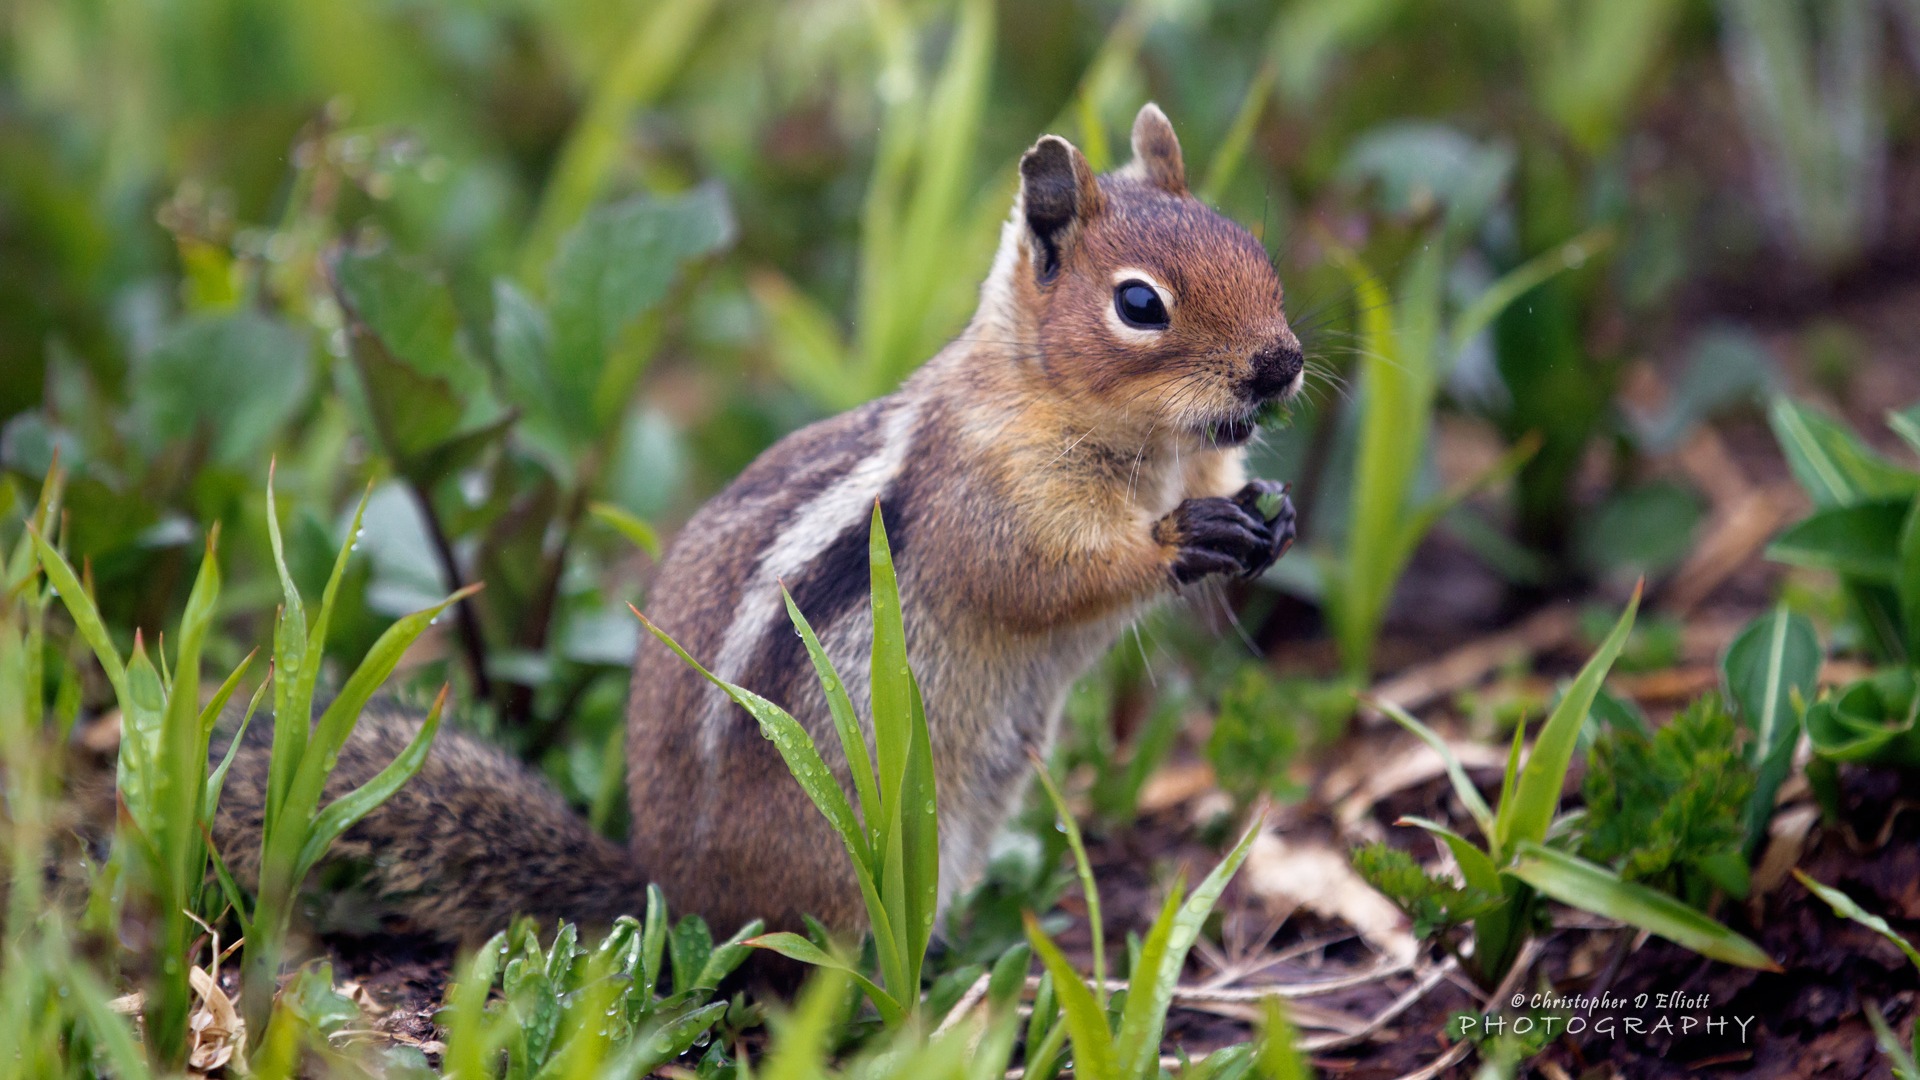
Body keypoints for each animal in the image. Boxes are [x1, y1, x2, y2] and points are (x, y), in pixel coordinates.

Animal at [217, 102, 1313, 941]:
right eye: (1140, 305)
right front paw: (1184, 540)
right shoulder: (990, 494)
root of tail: (675, 892)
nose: (1281, 364)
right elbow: (1045, 574)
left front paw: (1276, 518)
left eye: (1255, 247)